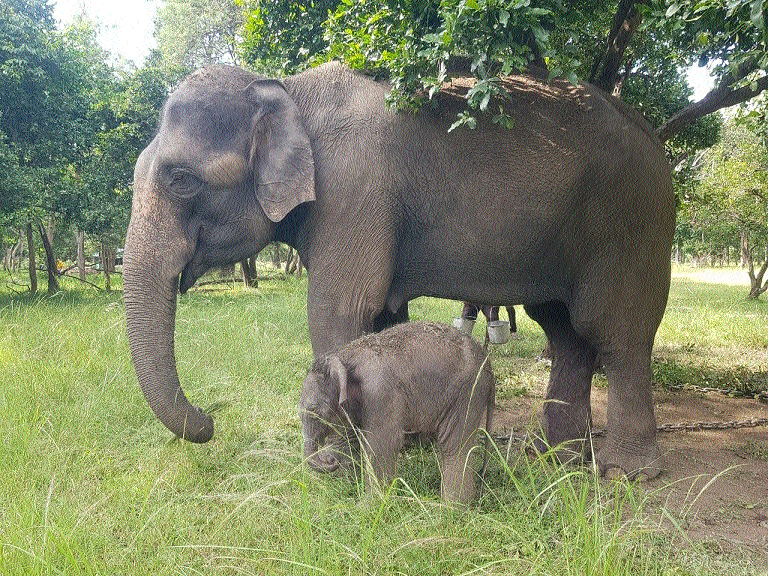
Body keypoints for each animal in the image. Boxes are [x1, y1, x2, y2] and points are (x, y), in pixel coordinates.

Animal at [123, 61, 675, 480]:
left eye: (181, 180)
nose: (210, 419)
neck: (289, 90)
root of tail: (654, 136)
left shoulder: (354, 194)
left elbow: (339, 310)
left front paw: (337, 469)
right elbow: (383, 319)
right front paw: (398, 446)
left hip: (631, 224)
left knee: (614, 331)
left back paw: (626, 473)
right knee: (564, 331)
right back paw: (555, 458)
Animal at [299, 321, 495, 504]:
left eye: (313, 410)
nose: (329, 460)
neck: (344, 357)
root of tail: (487, 361)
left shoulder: (380, 393)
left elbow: (382, 443)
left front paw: (368, 505)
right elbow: (354, 439)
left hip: (467, 392)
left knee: (453, 445)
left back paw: (451, 507)